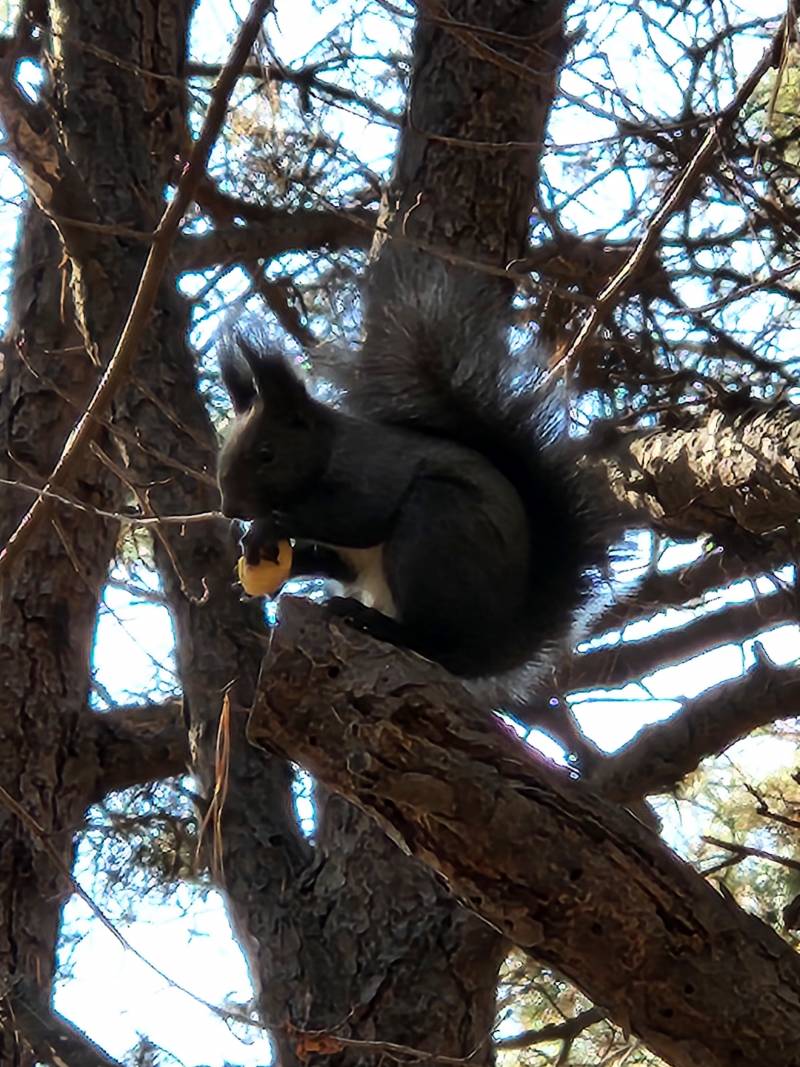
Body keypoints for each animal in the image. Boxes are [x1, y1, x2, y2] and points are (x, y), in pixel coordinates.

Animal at [219, 248, 605, 682]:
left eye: (267, 454)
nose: (230, 508)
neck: (327, 450)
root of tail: (491, 649)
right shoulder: (346, 556)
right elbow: (331, 557)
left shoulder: (372, 470)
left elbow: (357, 518)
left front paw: (267, 527)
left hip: (436, 529)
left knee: (432, 640)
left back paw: (375, 623)